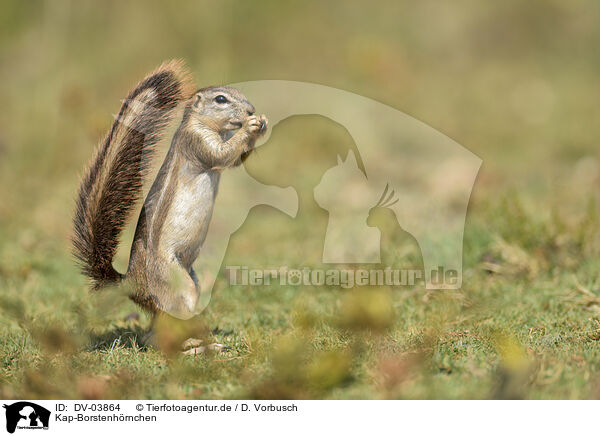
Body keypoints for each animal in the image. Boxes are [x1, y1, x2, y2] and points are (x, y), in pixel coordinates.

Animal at [72, 60, 268, 328]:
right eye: (221, 99)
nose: (251, 110)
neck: (202, 124)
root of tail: (133, 285)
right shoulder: (195, 141)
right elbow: (221, 155)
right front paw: (250, 126)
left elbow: (236, 160)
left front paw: (261, 123)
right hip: (176, 282)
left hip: (191, 278)